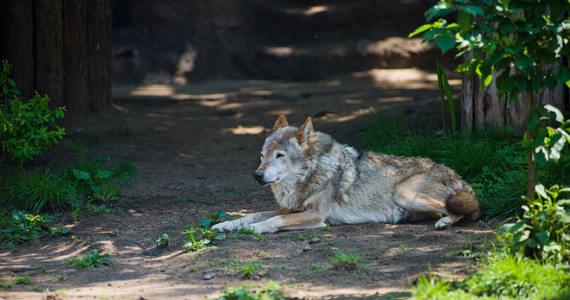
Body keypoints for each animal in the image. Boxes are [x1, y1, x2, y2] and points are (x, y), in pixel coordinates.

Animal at [212, 115, 480, 234]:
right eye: (262, 155)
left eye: (279, 156)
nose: (257, 175)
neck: (311, 174)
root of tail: (457, 175)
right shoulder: (292, 209)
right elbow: (253, 213)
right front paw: (225, 224)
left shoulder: (316, 215)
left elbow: (272, 221)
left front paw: (253, 229)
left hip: (405, 194)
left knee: (468, 211)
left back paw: (445, 222)